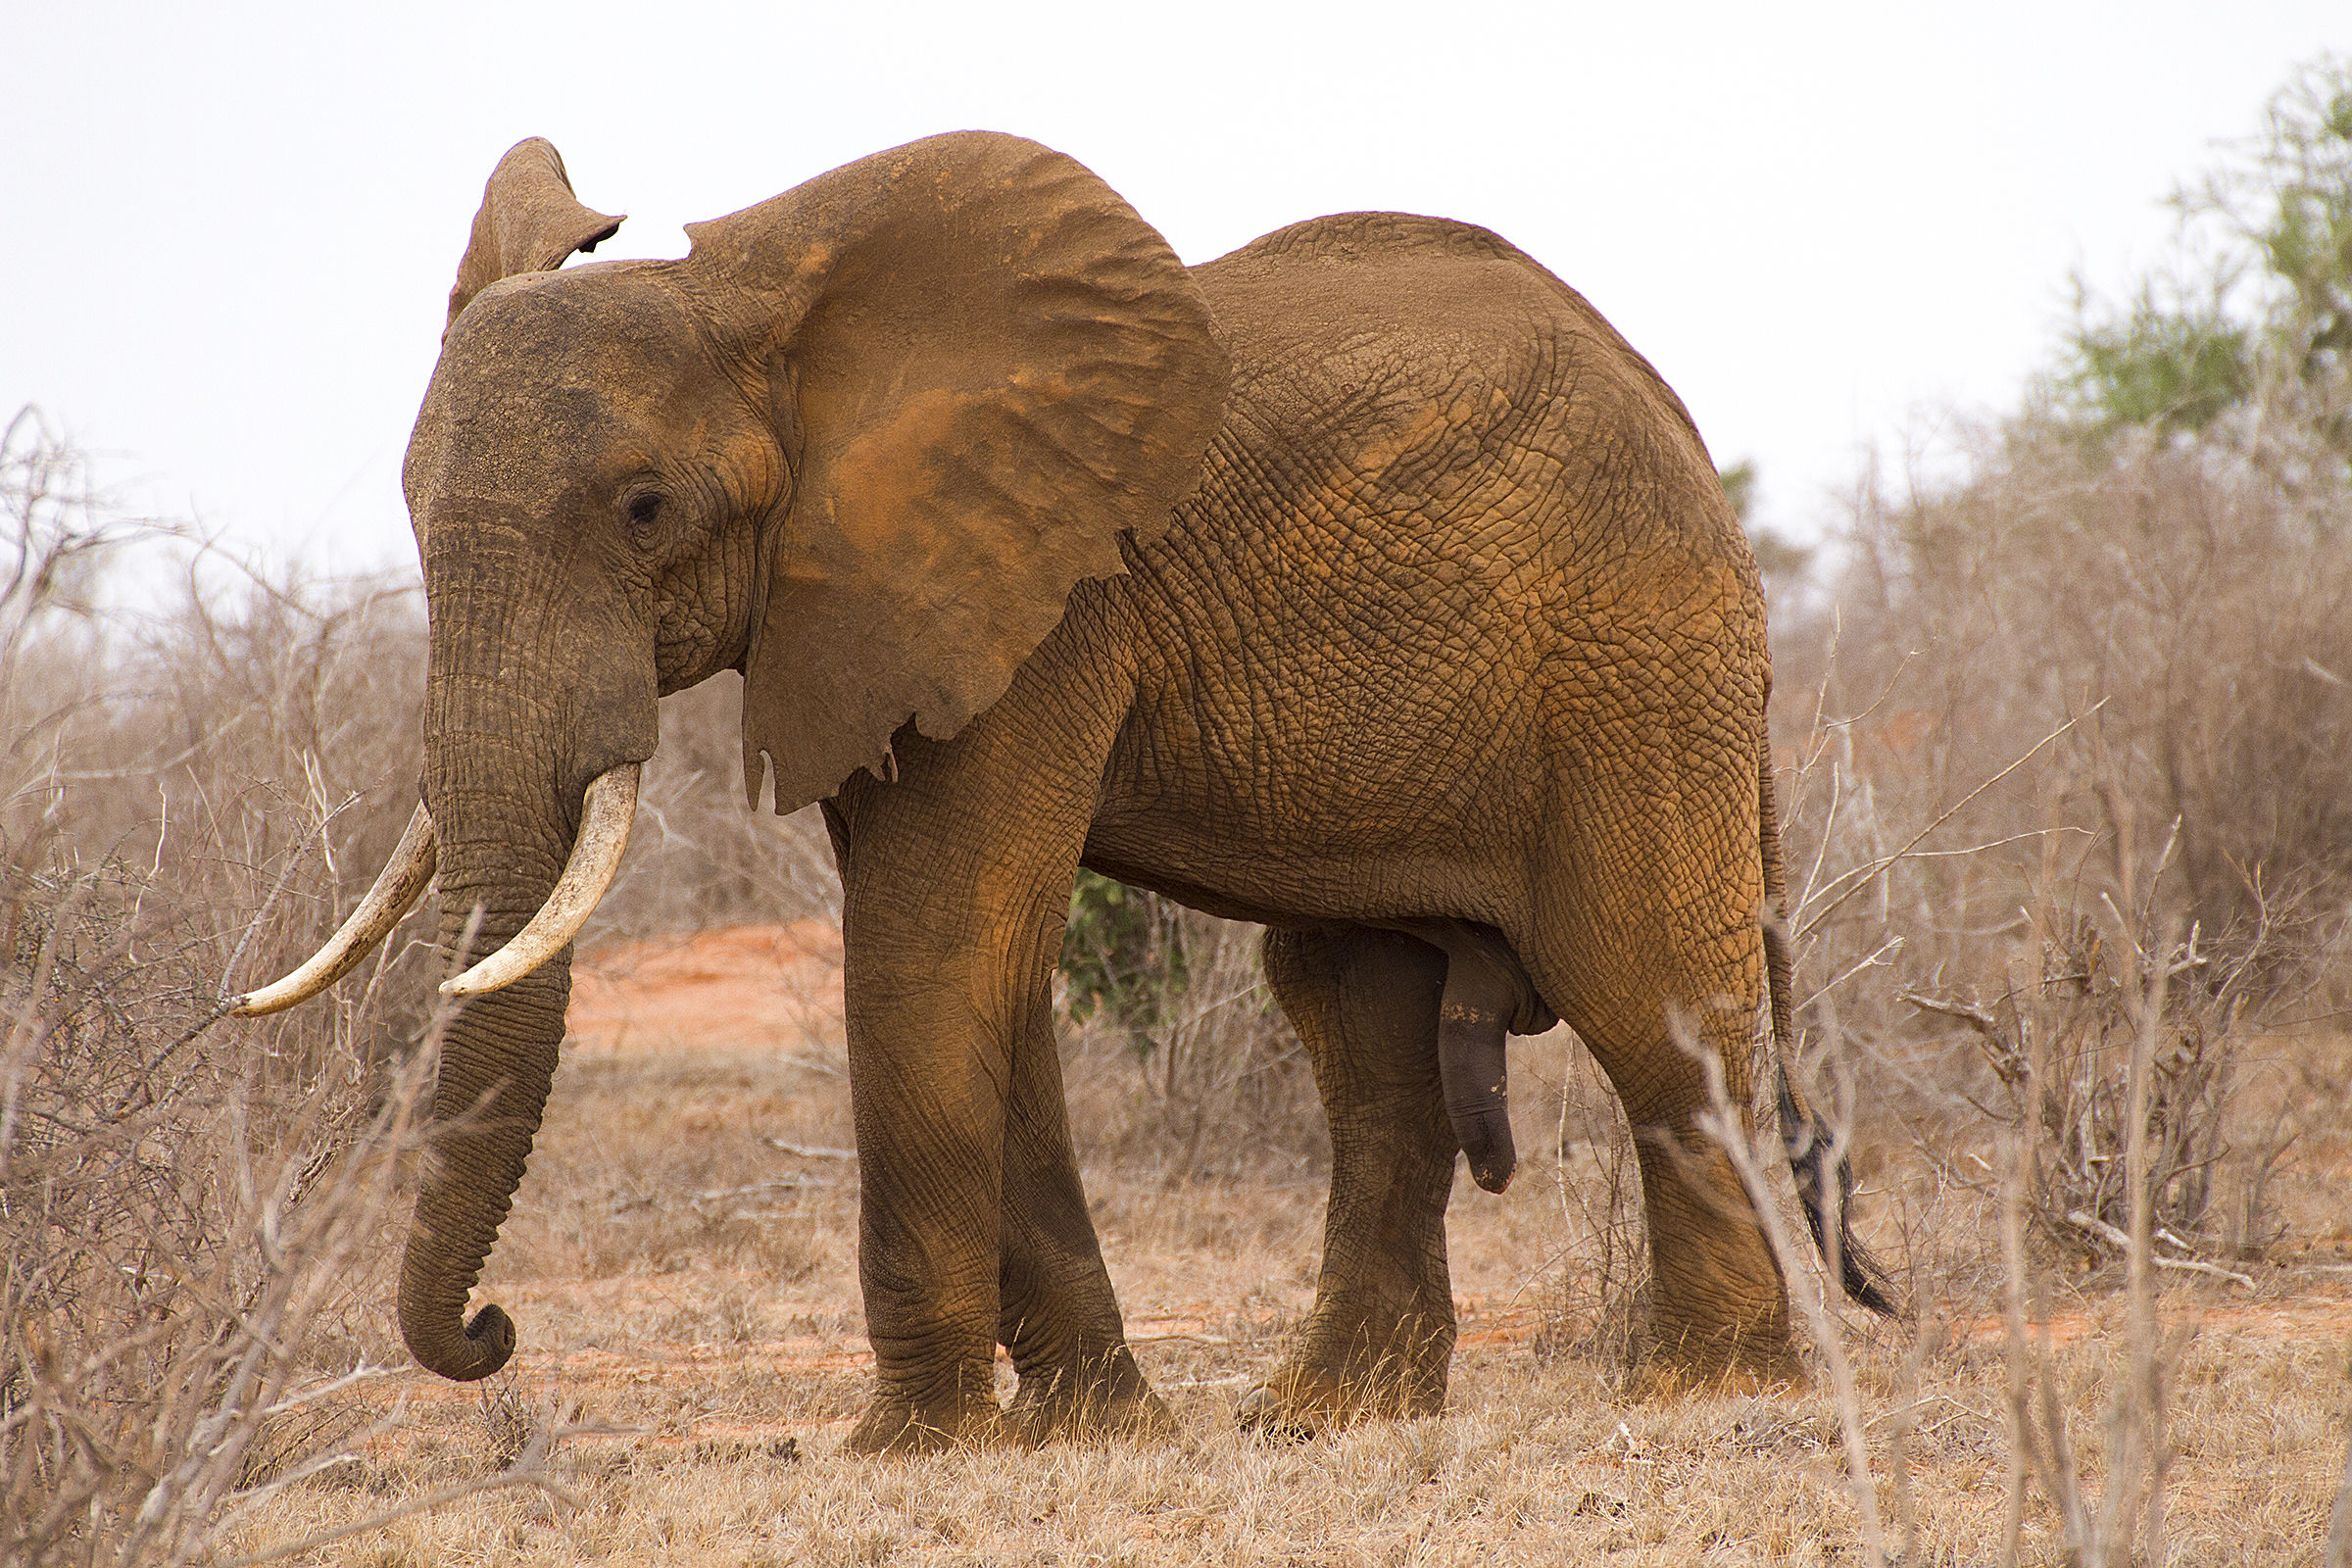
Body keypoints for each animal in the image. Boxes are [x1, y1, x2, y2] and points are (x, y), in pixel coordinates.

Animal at [238, 131, 1891, 1454]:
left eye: (645, 511)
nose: (491, 1334)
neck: (781, 319)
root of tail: (1672, 413)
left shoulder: (1037, 601)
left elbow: (931, 950)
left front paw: (908, 1448)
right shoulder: (888, 611)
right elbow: (984, 974)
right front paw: (1094, 1428)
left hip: (1634, 660)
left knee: (1646, 1002)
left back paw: (1710, 1393)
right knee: (1358, 1032)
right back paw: (1322, 1419)